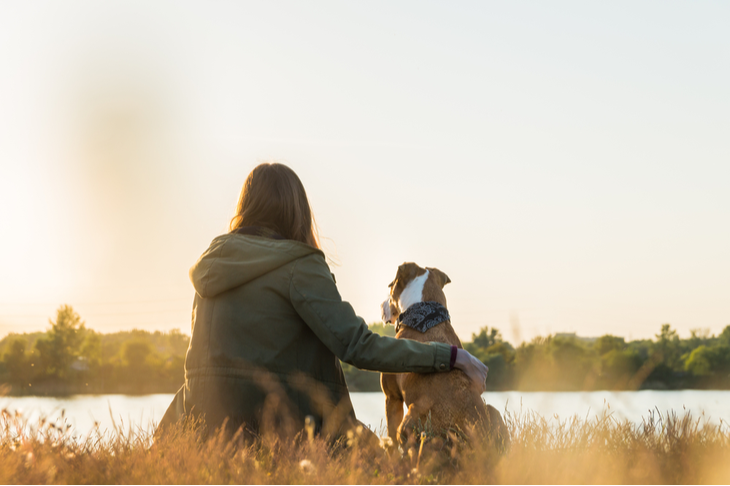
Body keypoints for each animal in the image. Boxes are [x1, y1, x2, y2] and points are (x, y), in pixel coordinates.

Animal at [382, 264, 506, 450]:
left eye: (390, 285)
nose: (382, 304)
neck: (426, 314)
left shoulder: (392, 397)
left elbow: (391, 443)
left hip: (410, 419)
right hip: (492, 410)